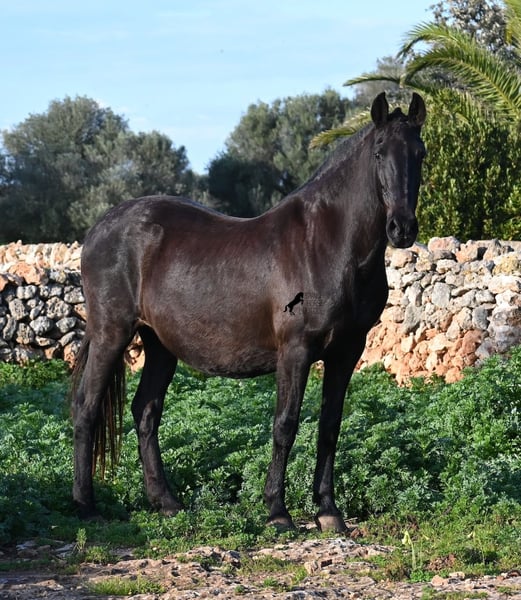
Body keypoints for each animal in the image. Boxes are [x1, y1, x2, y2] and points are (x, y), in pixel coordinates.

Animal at [71, 92, 427, 532]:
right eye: (379, 153)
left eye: (420, 153)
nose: (402, 229)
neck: (326, 244)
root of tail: (99, 228)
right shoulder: (295, 351)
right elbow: (285, 424)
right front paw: (277, 511)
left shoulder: (347, 352)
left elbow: (330, 426)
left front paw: (328, 511)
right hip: (111, 333)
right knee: (86, 408)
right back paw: (86, 506)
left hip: (159, 345)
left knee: (146, 412)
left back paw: (166, 502)